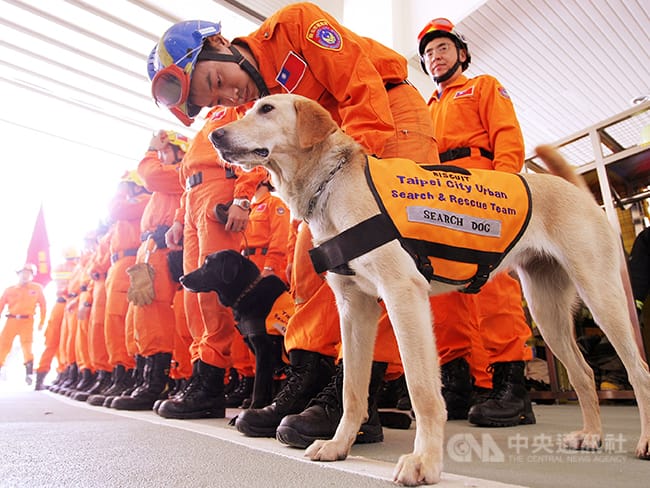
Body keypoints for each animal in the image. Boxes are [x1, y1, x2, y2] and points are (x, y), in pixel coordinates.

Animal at [181, 252, 284, 408]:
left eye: (207, 264)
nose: (181, 278)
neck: (248, 291)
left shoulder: (264, 349)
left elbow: (259, 383)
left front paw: (254, 407)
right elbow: (267, 382)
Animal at [208, 93, 648, 486]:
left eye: (266, 108)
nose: (214, 135)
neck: (332, 184)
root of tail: (574, 189)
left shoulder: (403, 295)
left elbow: (422, 390)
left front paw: (424, 462)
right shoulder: (354, 308)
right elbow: (352, 389)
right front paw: (338, 445)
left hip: (602, 297)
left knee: (639, 370)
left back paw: (643, 442)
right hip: (547, 311)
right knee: (584, 373)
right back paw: (592, 435)